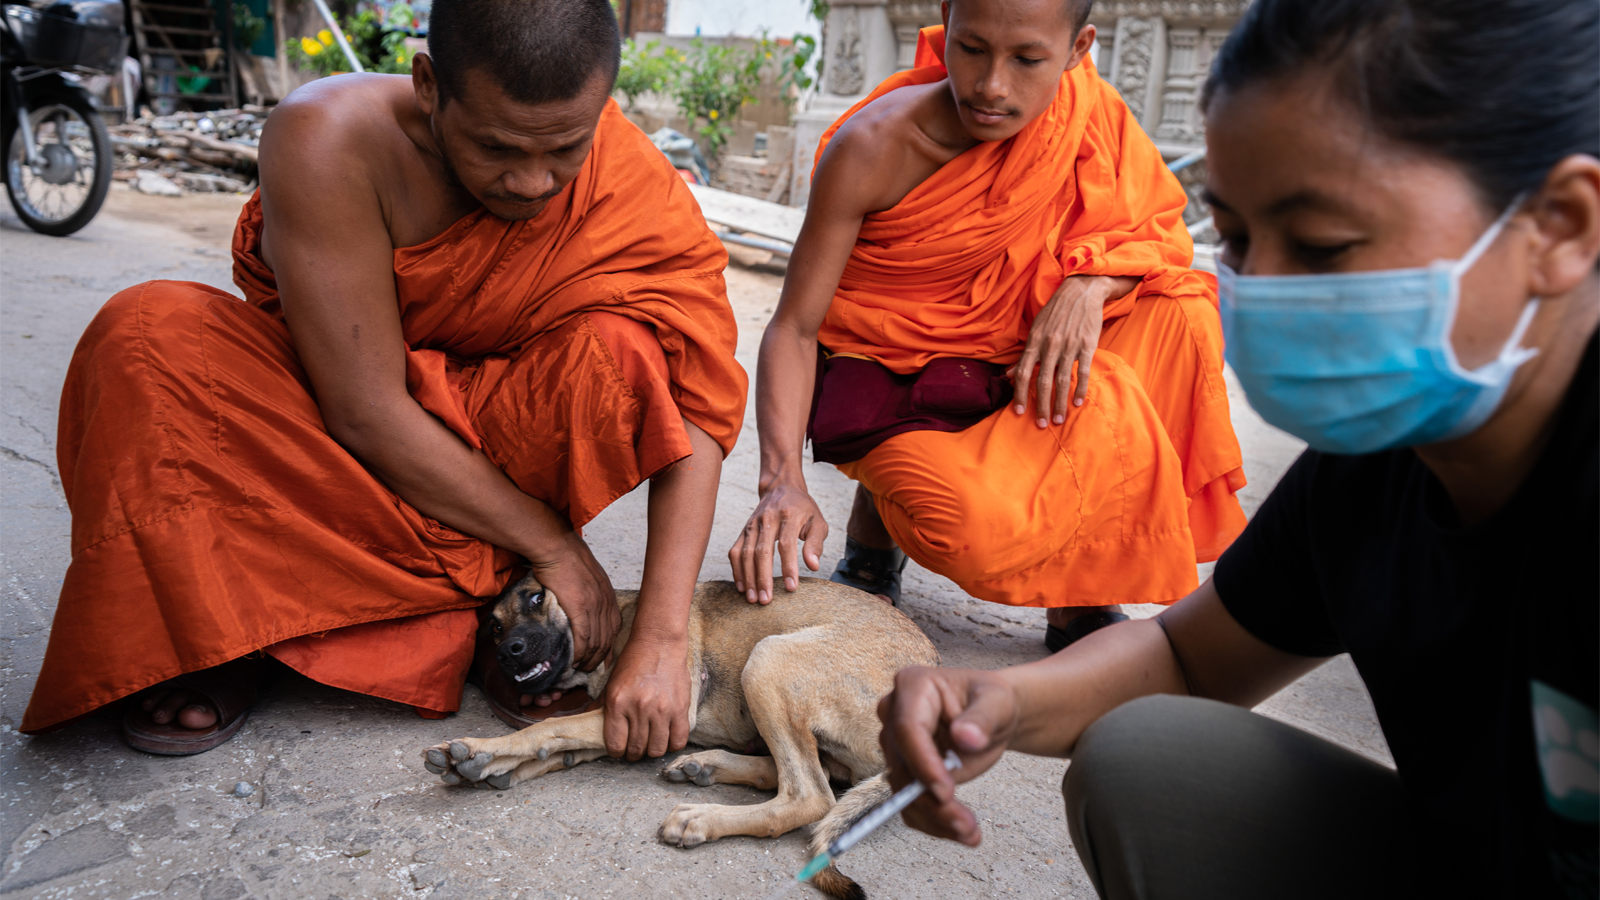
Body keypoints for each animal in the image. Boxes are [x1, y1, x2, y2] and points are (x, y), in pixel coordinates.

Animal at [422, 573, 934, 896]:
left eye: (535, 598)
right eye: (492, 625)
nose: (506, 652)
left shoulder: (646, 713)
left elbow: (549, 727)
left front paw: (484, 750)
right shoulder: (626, 726)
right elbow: (559, 742)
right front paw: (481, 763)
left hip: (769, 660)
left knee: (810, 794)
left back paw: (702, 817)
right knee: (810, 774)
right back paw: (704, 765)